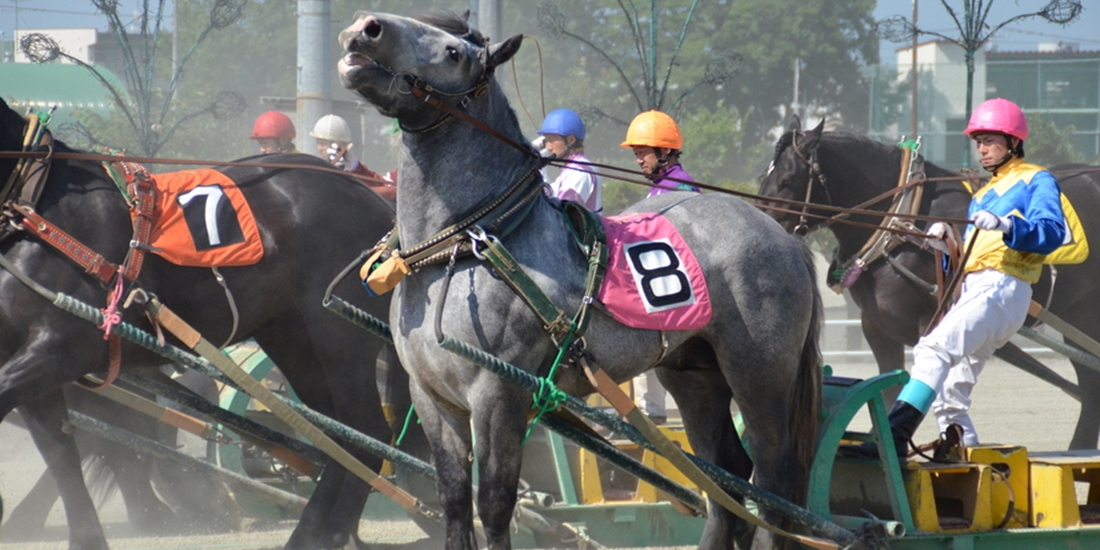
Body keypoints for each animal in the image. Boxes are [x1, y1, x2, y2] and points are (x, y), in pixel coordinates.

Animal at [0, 96, 404, 547]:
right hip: (295, 341)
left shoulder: (61, 349)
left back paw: (328, 530)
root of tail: (374, 201)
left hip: (339, 336)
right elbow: (62, 455)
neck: (40, 211)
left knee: (368, 431)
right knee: (338, 437)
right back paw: (316, 529)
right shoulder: (35, 366)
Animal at [338, 11, 822, 550]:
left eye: (453, 53)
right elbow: (455, 502)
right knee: (726, 479)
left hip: (759, 373)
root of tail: (781, 233)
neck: (466, 245)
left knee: (773, 477)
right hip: (693, 374)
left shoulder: (498, 396)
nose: (366, 27)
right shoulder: (433, 399)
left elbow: (495, 504)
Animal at [761, 118, 1100, 448]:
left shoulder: (932, 321)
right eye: (765, 177)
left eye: (788, 179)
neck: (904, 224)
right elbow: (887, 391)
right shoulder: (878, 327)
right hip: (1078, 317)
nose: (765, 224)